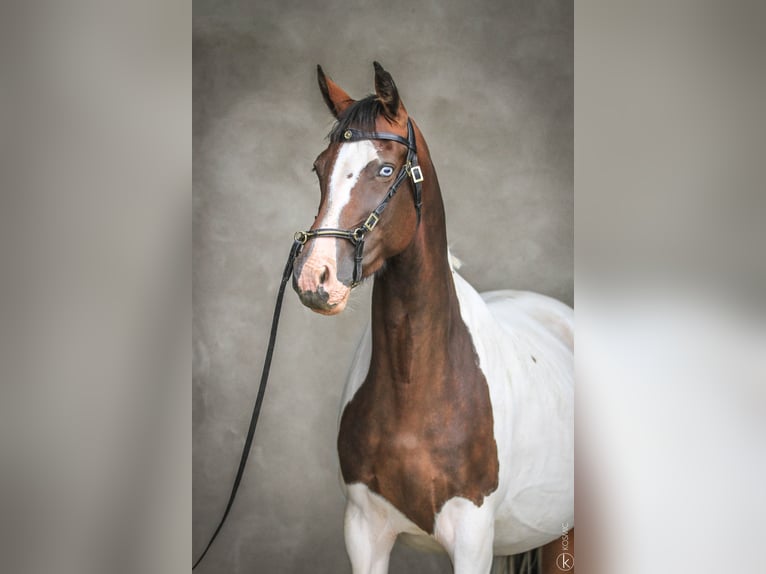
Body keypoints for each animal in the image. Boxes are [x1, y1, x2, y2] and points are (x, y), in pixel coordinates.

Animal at [294, 63, 576, 574]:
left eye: (385, 170)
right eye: (319, 167)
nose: (314, 276)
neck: (417, 381)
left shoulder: (472, 538)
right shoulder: (364, 533)